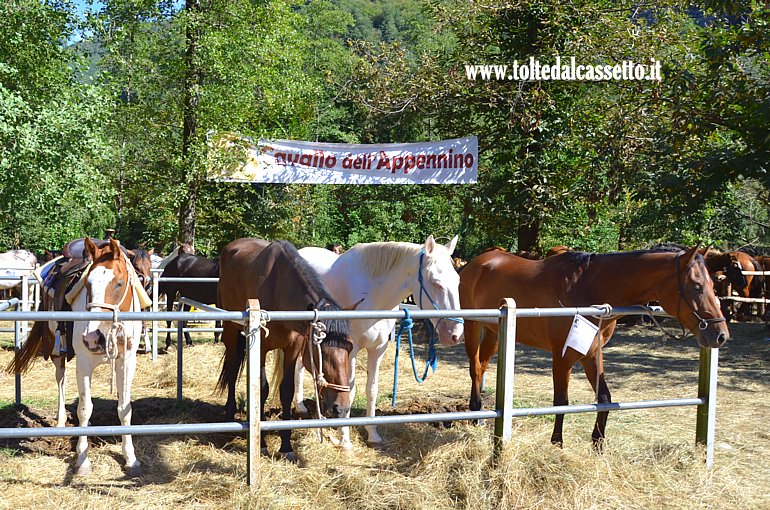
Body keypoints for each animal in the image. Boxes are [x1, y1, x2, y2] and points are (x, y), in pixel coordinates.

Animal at [7, 238, 147, 475]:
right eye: (88, 284)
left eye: (119, 283)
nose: (92, 338)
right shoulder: (83, 362)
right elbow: (84, 409)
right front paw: (82, 460)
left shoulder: (127, 362)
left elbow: (124, 409)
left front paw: (131, 458)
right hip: (57, 351)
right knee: (61, 380)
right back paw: (61, 420)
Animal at [217, 239, 353, 460]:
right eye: (322, 351)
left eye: (349, 349)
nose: (341, 408)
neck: (279, 288)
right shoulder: (261, 348)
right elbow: (262, 389)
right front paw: (262, 443)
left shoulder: (293, 348)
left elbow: (287, 390)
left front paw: (286, 446)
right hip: (230, 329)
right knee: (232, 367)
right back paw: (230, 414)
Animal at [295, 235, 464, 449]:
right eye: (436, 283)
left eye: (457, 281)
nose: (455, 334)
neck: (371, 295)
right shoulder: (350, 351)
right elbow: (350, 391)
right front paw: (345, 439)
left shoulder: (378, 350)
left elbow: (372, 390)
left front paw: (372, 434)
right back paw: (300, 406)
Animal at [459, 245, 729, 449]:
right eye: (696, 286)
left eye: (713, 285)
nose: (720, 335)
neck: (588, 288)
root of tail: (477, 263)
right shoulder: (562, 356)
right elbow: (561, 401)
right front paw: (557, 444)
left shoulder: (591, 354)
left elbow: (604, 398)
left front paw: (598, 443)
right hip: (473, 326)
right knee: (474, 369)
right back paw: (475, 413)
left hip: (494, 333)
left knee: (482, 367)